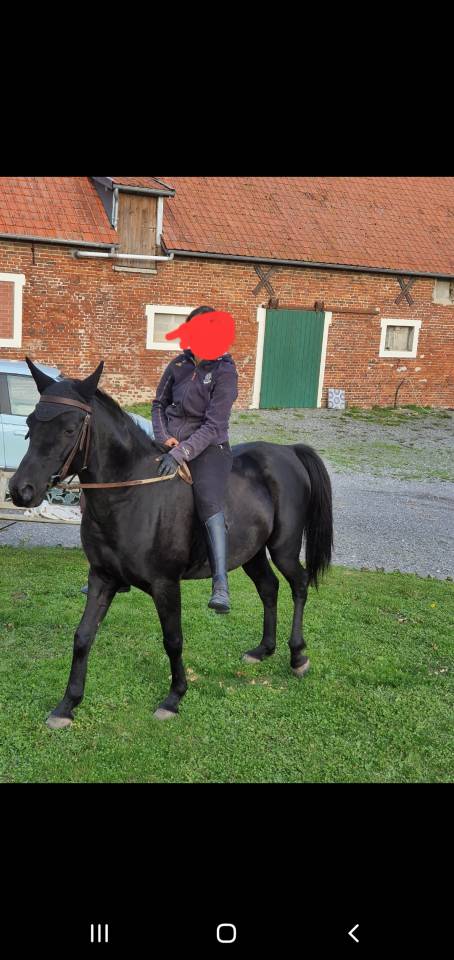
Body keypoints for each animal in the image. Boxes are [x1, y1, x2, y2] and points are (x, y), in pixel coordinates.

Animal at [9, 358, 333, 728]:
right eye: (32, 422)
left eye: (69, 428)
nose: (21, 490)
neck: (130, 493)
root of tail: (287, 452)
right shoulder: (102, 578)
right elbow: (83, 636)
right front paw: (67, 705)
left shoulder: (166, 585)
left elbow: (173, 640)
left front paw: (174, 698)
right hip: (251, 552)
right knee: (269, 587)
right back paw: (263, 650)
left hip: (283, 547)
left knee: (299, 585)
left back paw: (297, 656)